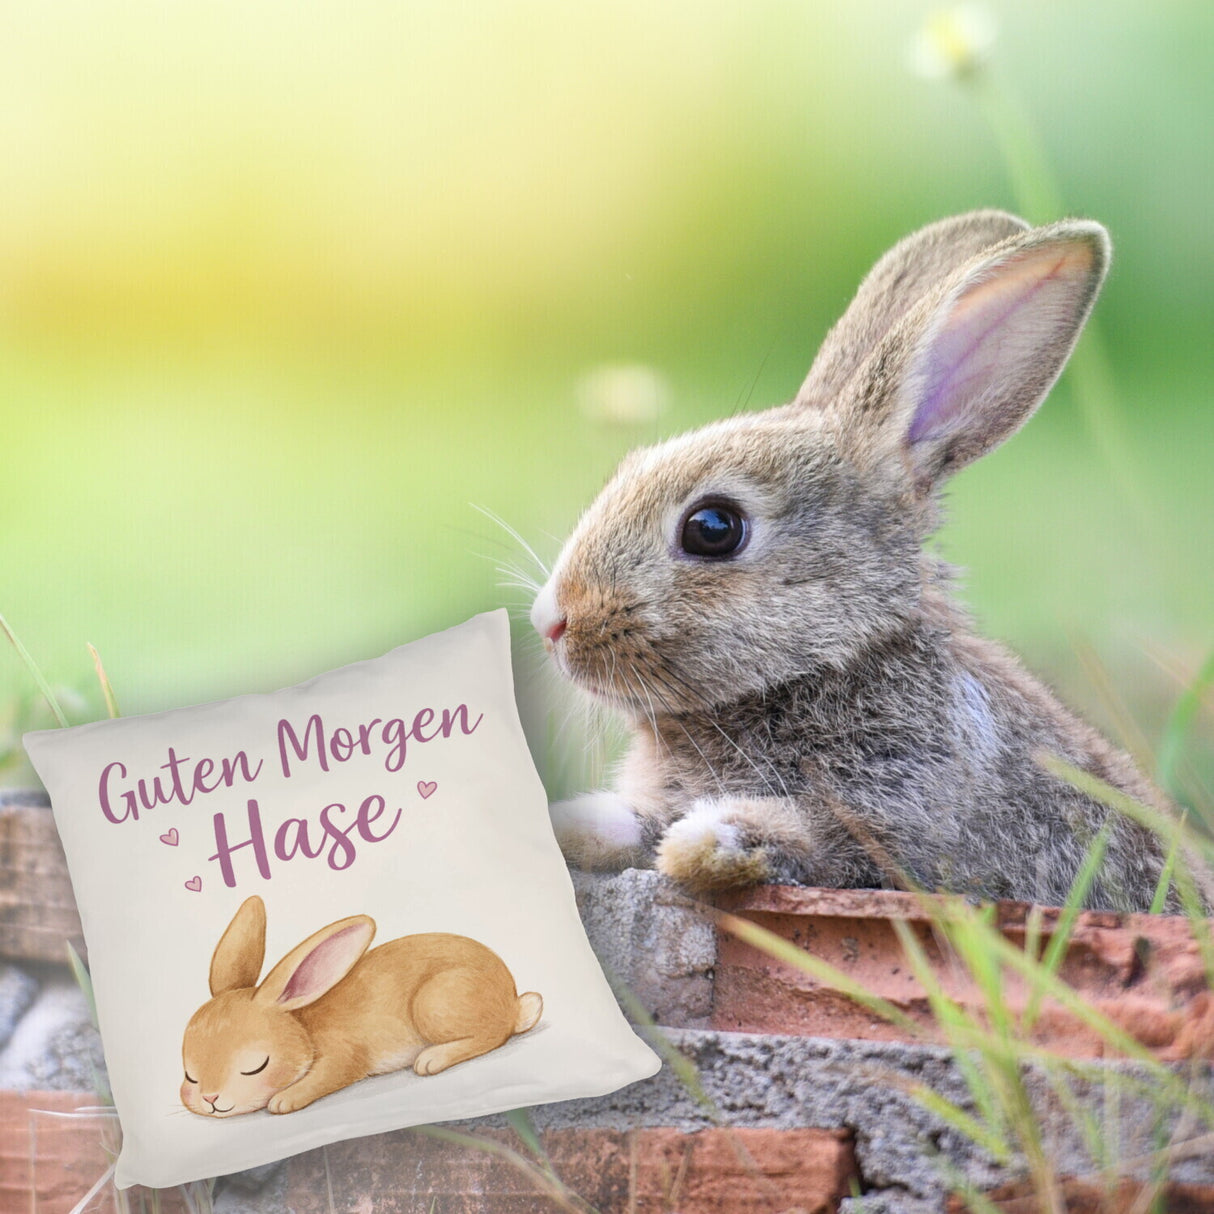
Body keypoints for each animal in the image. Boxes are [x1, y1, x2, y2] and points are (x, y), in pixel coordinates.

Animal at [180, 895, 543, 1117]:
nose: (209, 1099)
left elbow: (325, 1076)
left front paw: (283, 1100)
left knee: (493, 1034)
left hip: (435, 1005)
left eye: (256, 1066)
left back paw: (432, 1060)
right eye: (189, 1076)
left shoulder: (343, 1056)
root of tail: (511, 1001)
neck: (304, 1028)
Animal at [530, 209, 1181, 913]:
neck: (829, 662)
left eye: (713, 528)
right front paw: (565, 825)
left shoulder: (899, 825)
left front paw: (708, 843)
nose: (551, 621)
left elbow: (806, 842)